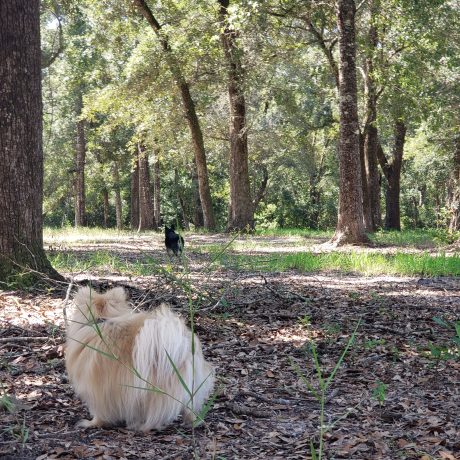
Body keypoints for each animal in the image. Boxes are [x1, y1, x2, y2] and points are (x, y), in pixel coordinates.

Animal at [65, 286, 215, 434]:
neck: (102, 320)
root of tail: (179, 347)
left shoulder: (97, 387)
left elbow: (99, 412)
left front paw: (92, 423)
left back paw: (143, 427)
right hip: (191, 386)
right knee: (189, 408)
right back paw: (193, 422)